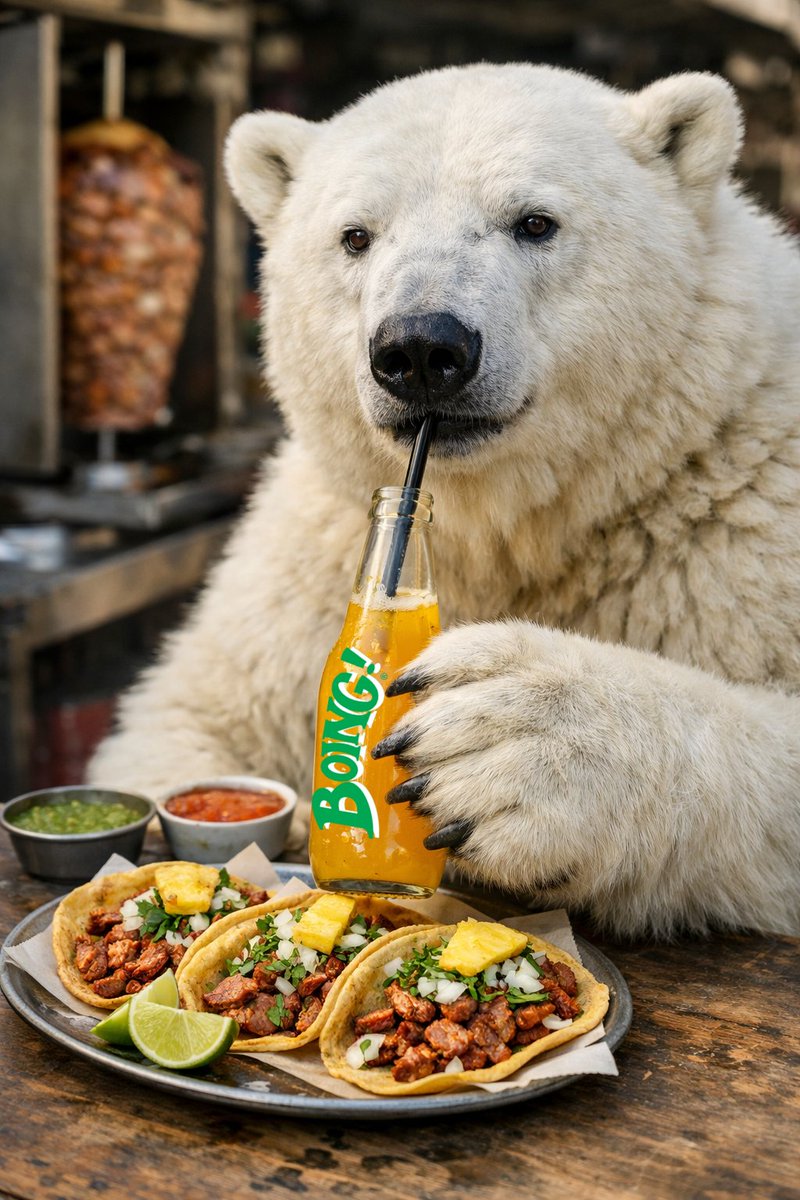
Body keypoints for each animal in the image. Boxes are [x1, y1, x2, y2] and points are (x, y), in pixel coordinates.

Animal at [89, 63, 800, 939]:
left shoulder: (736, 524)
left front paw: (508, 744)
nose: (422, 349)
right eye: (356, 235)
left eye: (535, 222)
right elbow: (192, 721)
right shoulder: (305, 558)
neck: (514, 521)